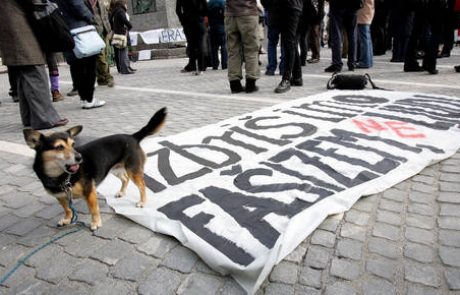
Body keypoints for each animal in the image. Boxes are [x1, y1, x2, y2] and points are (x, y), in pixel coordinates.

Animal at [23, 108, 167, 231]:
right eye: (59, 147)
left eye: (73, 145)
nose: (80, 157)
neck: (61, 177)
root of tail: (133, 136)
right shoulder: (60, 196)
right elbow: (67, 209)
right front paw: (67, 219)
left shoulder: (89, 192)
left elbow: (93, 210)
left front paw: (96, 223)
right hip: (116, 169)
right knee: (125, 179)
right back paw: (121, 192)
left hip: (133, 171)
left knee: (142, 186)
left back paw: (142, 202)